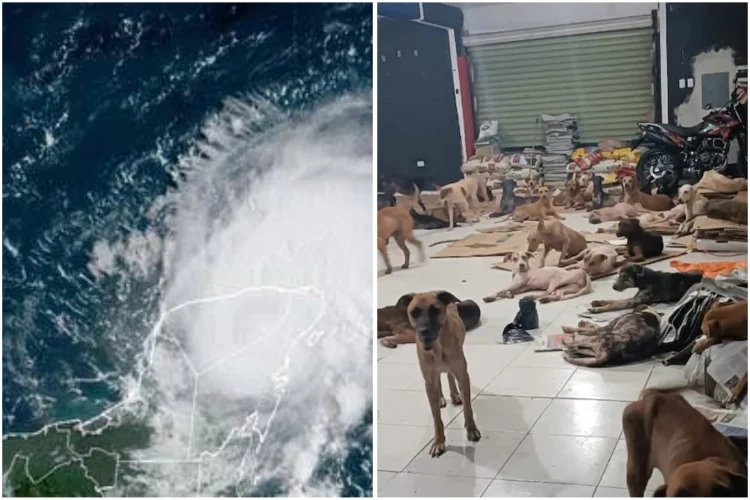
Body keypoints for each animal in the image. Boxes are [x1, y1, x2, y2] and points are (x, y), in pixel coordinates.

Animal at [406, 290, 482, 458]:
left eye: (435, 310)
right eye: (414, 312)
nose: (424, 331)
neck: (437, 348)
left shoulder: (462, 374)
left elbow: (468, 408)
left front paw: (471, 429)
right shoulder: (428, 381)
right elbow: (437, 418)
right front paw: (438, 442)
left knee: (449, 376)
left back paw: (455, 394)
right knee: (440, 381)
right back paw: (442, 397)